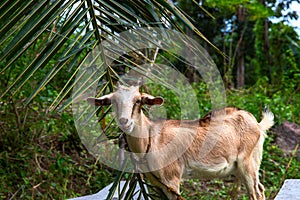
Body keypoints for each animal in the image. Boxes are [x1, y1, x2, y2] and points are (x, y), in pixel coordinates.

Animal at [86, 84, 274, 200]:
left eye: (138, 100)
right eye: (112, 102)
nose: (124, 121)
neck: (150, 139)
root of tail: (257, 124)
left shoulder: (172, 178)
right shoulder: (158, 184)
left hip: (248, 163)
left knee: (256, 192)